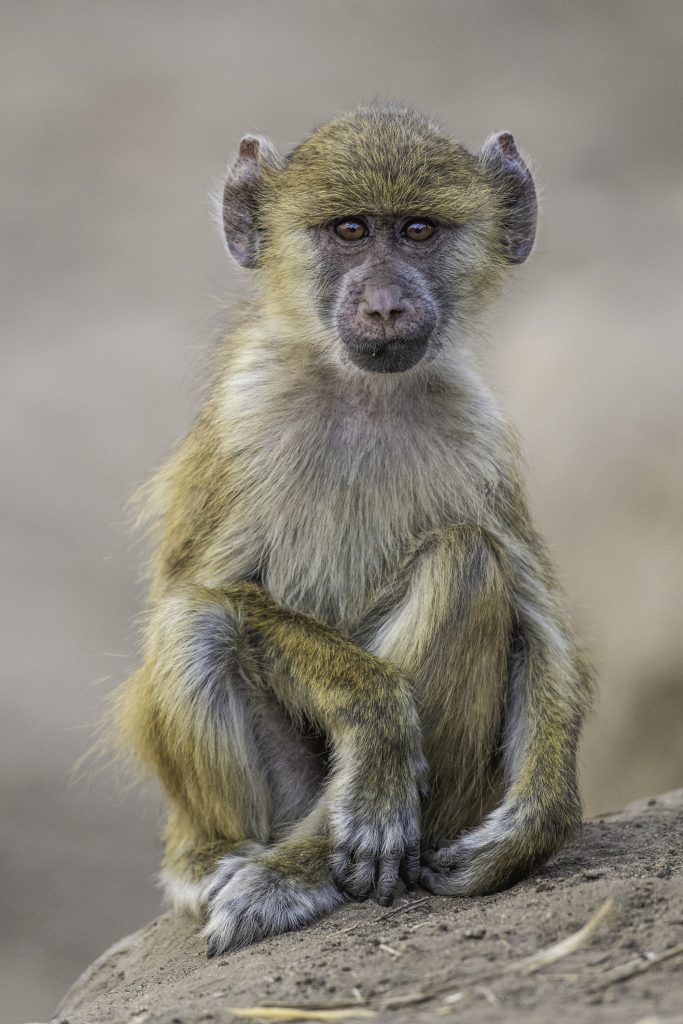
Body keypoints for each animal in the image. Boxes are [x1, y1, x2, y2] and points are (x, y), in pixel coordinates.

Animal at [114, 103, 591, 958]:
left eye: (416, 230)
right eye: (347, 230)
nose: (384, 307)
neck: (363, 390)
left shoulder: (480, 436)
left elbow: (542, 631)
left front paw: (533, 825)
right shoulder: (245, 414)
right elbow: (201, 587)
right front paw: (376, 714)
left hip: (452, 797)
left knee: (466, 558)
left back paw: (300, 870)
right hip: (273, 801)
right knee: (197, 619)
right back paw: (227, 860)